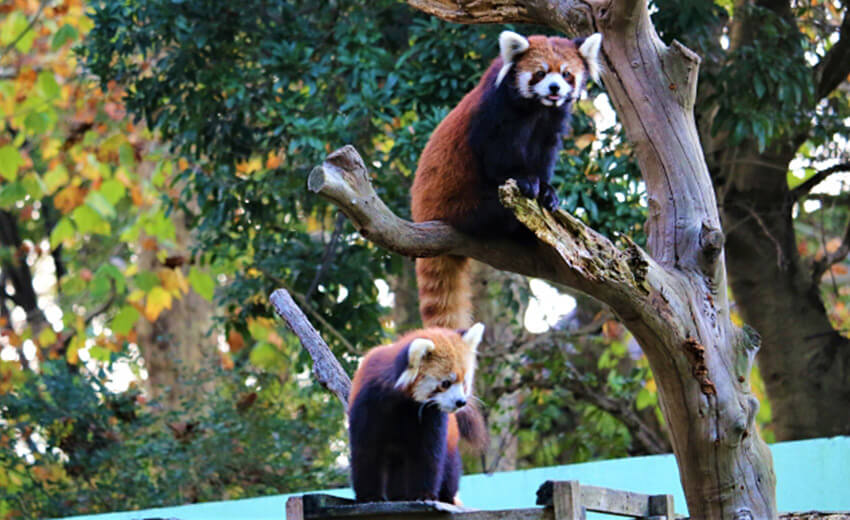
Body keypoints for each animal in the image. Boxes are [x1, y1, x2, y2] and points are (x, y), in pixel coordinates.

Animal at [348, 322, 486, 502]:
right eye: (446, 383)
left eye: (464, 383)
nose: (461, 402)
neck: (403, 403)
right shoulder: (368, 404)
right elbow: (366, 450)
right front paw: (369, 496)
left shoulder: (431, 416)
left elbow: (428, 455)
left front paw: (424, 494)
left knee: (450, 470)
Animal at [410, 29, 604, 330]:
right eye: (540, 73)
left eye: (566, 74)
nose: (554, 89)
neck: (538, 108)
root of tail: (423, 214)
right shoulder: (495, 115)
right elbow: (498, 160)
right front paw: (527, 182)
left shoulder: (551, 124)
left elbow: (545, 157)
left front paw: (548, 192)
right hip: (463, 206)